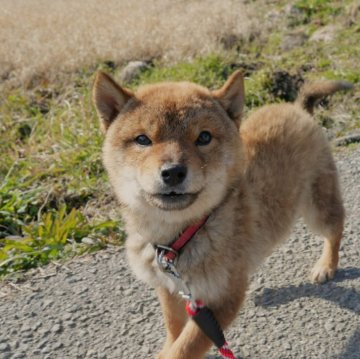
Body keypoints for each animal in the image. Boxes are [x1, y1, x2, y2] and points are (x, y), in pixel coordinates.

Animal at [91, 71, 350, 359]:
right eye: (143, 139)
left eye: (204, 137)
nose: (173, 172)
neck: (180, 236)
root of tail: (297, 108)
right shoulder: (171, 287)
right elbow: (173, 327)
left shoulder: (222, 299)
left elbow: (184, 348)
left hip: (318, 208)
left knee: (336, 228)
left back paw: (326, 265)